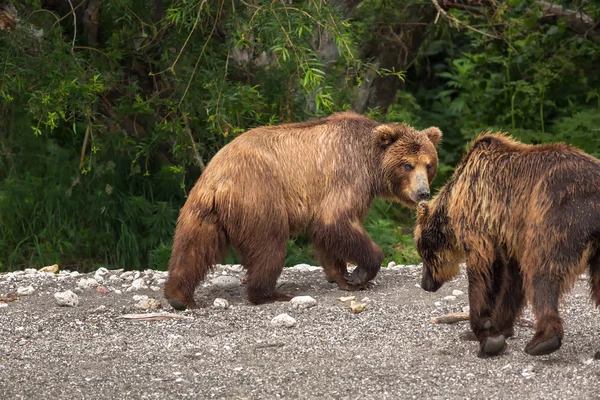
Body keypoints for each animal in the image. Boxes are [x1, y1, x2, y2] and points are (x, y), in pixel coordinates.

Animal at [164, 111, 440, 310]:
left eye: (428, 164)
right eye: (407, 165)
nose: (423, 192)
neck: (371, 164)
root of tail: (220, 180)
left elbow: (327, 234)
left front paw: (342, 277)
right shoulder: (347, 175)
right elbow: (335, 221)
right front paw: (361, 274)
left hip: (200, 209)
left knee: (192, 248)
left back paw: (178, 296)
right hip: (261, 197)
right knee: (270, 246)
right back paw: (270, 294)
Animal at [414, 133, 600, 358]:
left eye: (423, 253)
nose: (425, 284)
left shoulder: (479, 214)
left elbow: (485, 270)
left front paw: (484, 332)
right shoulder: (509, 236)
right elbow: (512, 280)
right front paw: (496, 328)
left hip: (560, 211)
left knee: (542, 269)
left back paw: (542, 340)